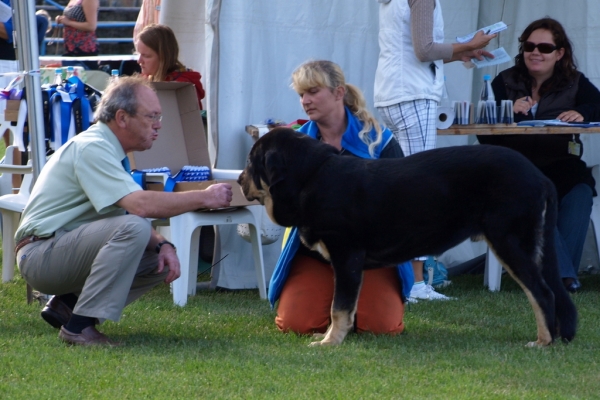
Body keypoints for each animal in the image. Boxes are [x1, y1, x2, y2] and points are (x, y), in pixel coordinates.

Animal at [238, 126, 576, 346]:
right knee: (556, 294)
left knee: (542, 293)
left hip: (509, 242)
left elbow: (339, 307)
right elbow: (343, 306)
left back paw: (543, 342)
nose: (239, 179)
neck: (312, 177)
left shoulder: (347, 256)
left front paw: (329, 343)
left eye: (251, 161)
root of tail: (540, 176)